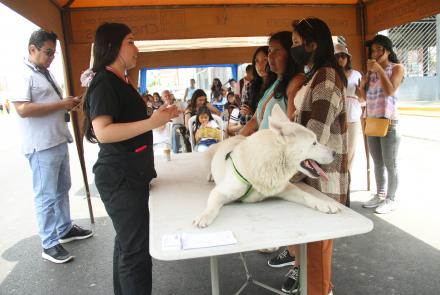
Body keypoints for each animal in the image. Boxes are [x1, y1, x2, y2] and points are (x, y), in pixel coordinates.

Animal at [194, 104, 342, 229]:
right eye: (314, 143)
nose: (335, 153)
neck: (271, 162)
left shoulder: (287, 189)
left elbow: (308, 196)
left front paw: (326, 204)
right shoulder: (220, 192)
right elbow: (212, 206)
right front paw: (204, 216)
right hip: (206, 157)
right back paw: (210, 176)